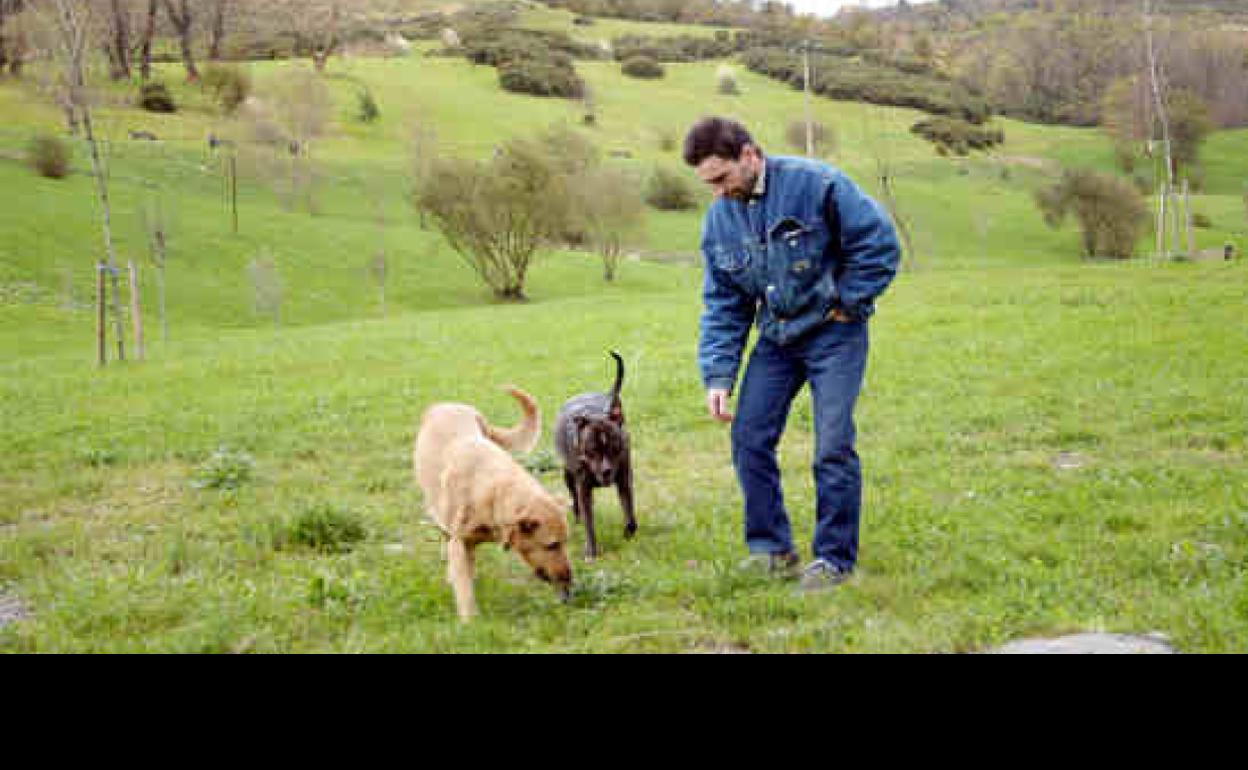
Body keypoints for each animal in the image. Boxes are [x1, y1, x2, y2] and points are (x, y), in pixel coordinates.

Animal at [556, 349, 633, 559]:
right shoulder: (583, 486)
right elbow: (588, 520)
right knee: (575, 498)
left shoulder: (624, 478)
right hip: (568, 475)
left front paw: (628, 531)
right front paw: (591, 550)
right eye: (591, 450)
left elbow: (629, 510)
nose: (606, 471)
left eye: (615, 447)